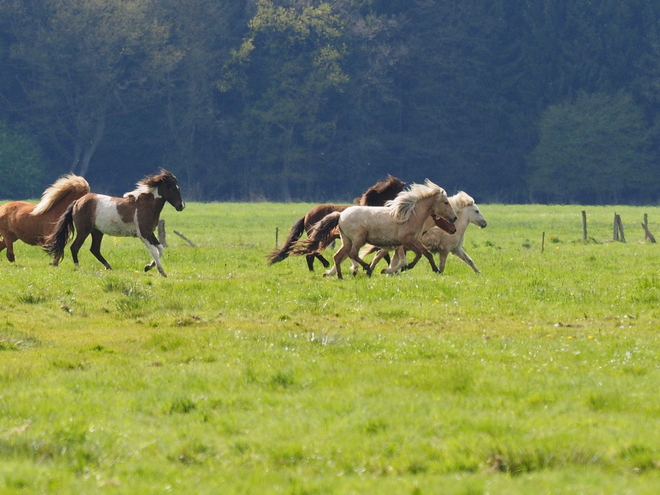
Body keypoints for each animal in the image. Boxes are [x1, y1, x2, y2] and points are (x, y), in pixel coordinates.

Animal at [44, 170, 184, 280]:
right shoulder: (143, 234)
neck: (146, 205)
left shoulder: (150, 233)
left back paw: (108, 267)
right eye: (172, 188)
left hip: (97, 232)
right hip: (84, 231)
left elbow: (160, 249)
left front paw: (148, 267)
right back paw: (79, 267)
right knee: (75, 247)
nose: (181, 206)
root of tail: (77, 201)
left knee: (94, 249)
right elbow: (155, 251)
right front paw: (162, 272)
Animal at [266, 174, 404, 272]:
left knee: (311, 252)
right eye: (399, 190)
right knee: (311, 252)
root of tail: (307, 215)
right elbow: (382, 254)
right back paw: (320, 266)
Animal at [296, 179, 456, 280]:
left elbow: (426, 253)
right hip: (358, 239)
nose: (454, 219)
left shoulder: (413, 240)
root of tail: (340, 215)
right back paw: (365, 268)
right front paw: (404, 267)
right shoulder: (406, 241)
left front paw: (436, 270)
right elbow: (418, 254)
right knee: (352, 254)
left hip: (346, 240)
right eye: (445, 202)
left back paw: (340, 276)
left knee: (338, 256)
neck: (410, 215)